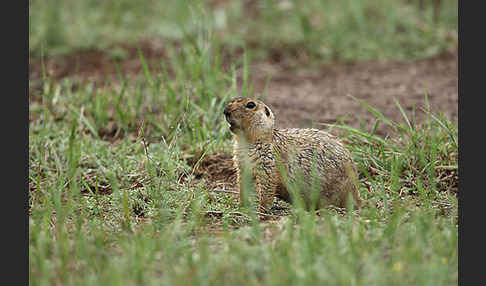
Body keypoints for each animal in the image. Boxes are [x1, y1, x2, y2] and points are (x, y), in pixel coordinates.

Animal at [224, 96, 360, 212]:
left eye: (250, 105)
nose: (225, 111)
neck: (247, 142)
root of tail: (355, 188)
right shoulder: (241, 163)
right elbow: (243, 183)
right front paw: (240, 206)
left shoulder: (267, 161)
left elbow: (267, 185)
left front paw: (261, 210)